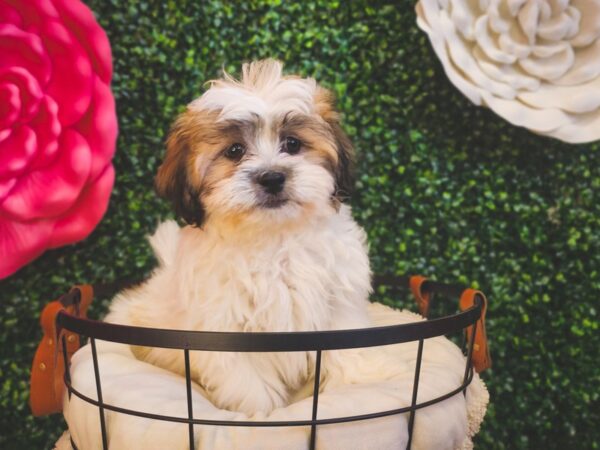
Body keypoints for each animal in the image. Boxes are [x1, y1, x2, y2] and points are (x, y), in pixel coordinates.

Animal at [105, 59, 372, 414]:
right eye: (234, 151)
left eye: (292, 144)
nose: (272, 177)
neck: (274, 238)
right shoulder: (227, 330)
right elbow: (250, 385)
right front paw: (260, 414)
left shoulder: (339, 304)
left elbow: (346, 351)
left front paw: (352, 391)